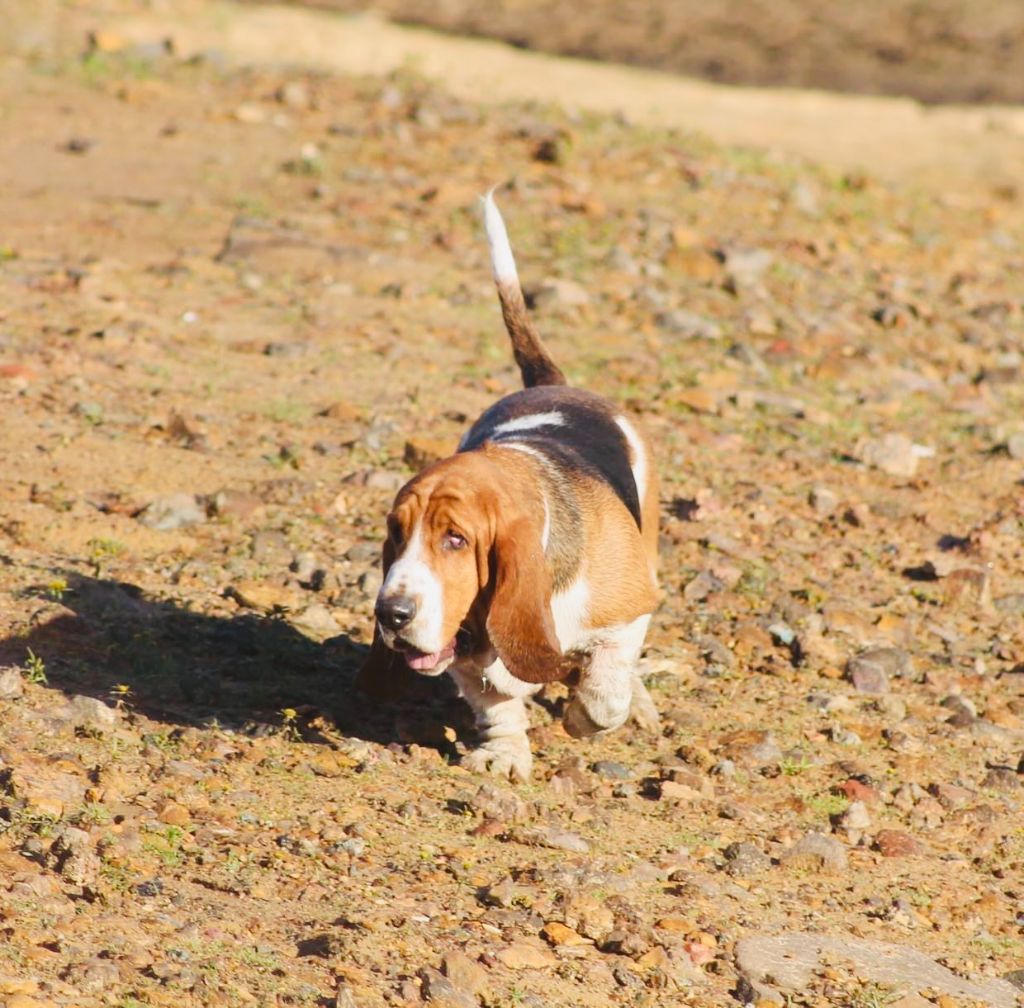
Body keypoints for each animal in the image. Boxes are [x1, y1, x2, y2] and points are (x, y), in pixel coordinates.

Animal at [360, 188, 659, 778]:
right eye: (396, 534)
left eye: (456, 539)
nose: (391, 614)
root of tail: (555, 385)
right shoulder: (464, 651)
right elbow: (496, 702)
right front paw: (504, 756)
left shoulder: (627, 613)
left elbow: (604, 690)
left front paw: (585, 717)